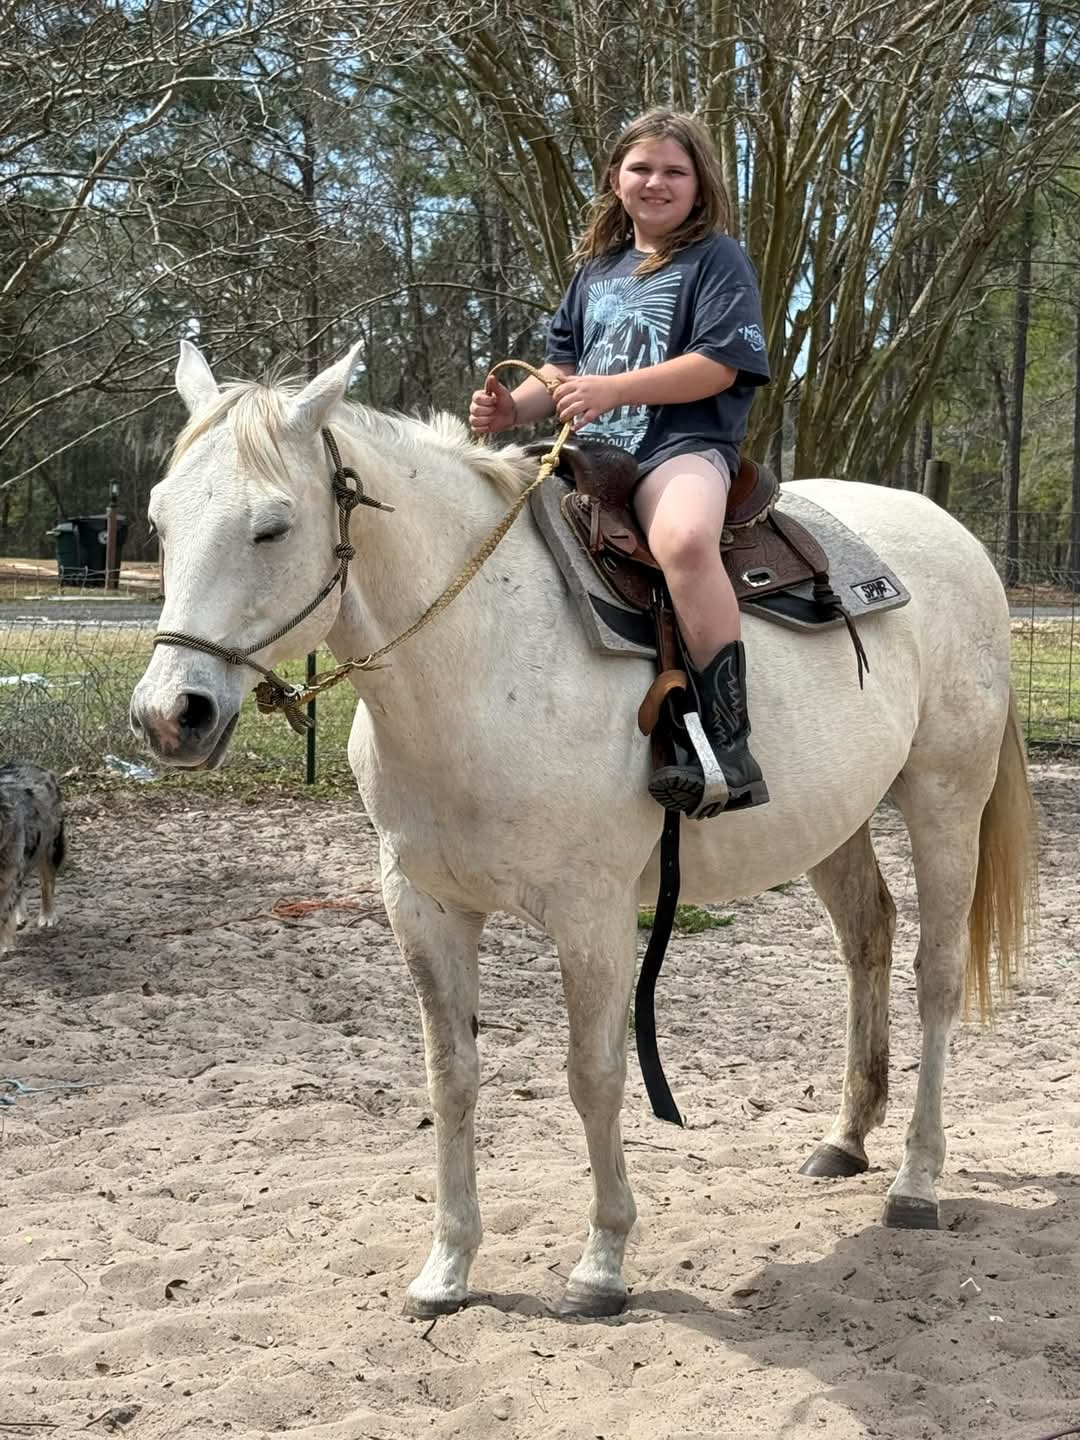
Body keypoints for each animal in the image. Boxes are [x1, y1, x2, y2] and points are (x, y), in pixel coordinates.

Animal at [131, 342, 1036, 1319]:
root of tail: (951, 536)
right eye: (159, 519)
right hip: (837, 823)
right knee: (869, 935)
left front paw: (602, 1263)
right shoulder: (424, 908)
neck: (480, 660)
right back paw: (845, 1139)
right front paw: (447, 1268)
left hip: (945, 800)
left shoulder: (592, 915)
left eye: (273, 527)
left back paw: (916, 1180)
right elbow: (452, 1076)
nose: (170, 716)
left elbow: (594, 1076)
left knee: (936, 977)